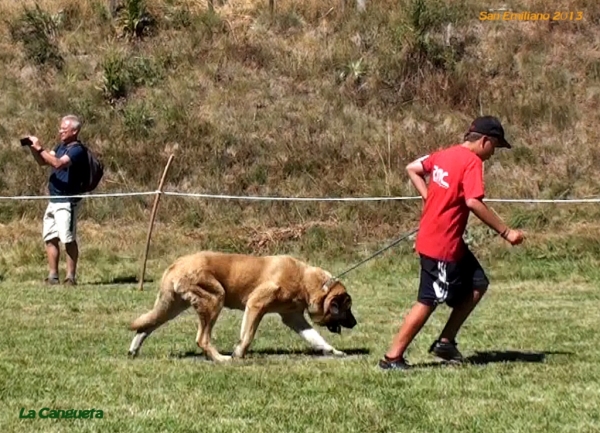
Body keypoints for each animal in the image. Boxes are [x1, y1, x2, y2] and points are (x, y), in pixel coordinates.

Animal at [127, 250, 356, 362]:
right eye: (347, 308)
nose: (355, 323)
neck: (306, 281)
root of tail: (177, 264)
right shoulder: (256, 305)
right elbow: (247, 336)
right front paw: (238, 354)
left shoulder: (294, 318)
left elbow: (316, 338)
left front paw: (333, 351)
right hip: (215, 299)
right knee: (202, 339)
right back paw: (221, 359)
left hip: (172, 307)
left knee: (145, 326)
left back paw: (133, 351)